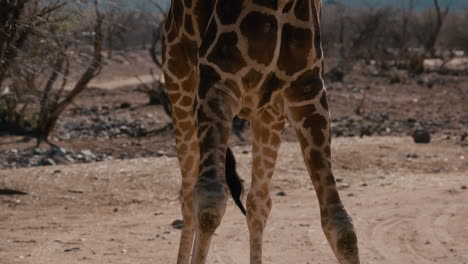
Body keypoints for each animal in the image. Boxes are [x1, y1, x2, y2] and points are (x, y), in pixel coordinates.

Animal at [163, 0, 360, 264]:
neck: (281, 5)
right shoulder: (217, 82)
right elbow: (209, 204)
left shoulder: (307, 95)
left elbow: (341, 228)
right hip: (179, 84)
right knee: (188, 195)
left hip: (267, 115)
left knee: (258, 203)